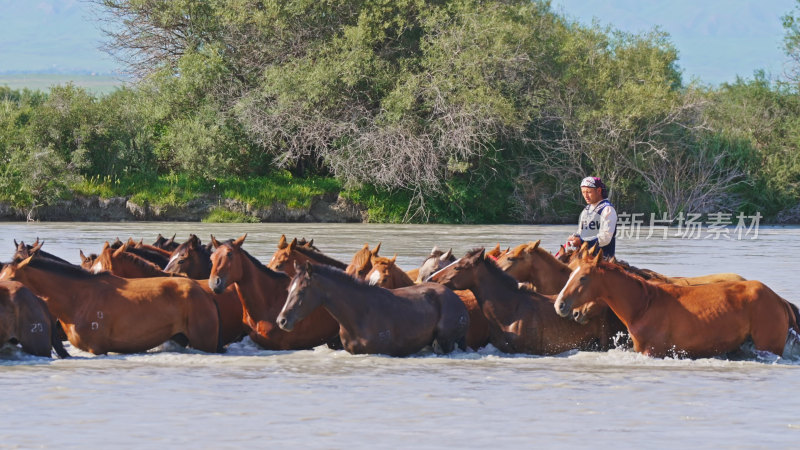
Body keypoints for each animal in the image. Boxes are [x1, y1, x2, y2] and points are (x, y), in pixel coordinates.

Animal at [280, 264, 472, 356]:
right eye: (288, 289)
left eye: (302, 291)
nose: (282, 320)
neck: (359, 314)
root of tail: (457, 300)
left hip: (444, 343)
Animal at [552, 250, 800, 358]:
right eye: (570, 273)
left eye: (583, 278)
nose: (561, 305)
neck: (644, 306)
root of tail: (778, 299)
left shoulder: (652, 352)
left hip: (768, 346)